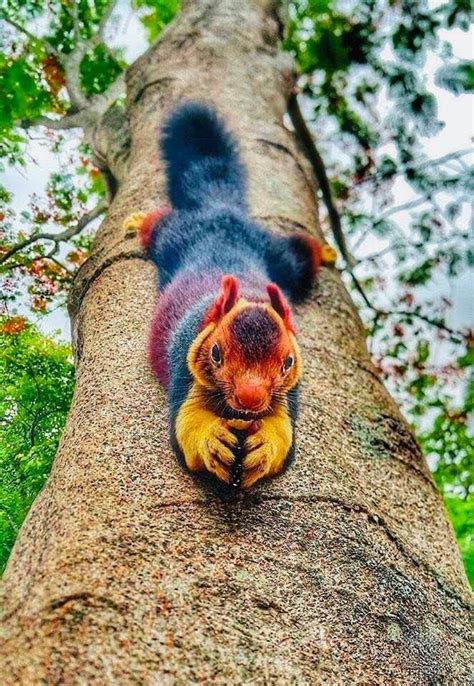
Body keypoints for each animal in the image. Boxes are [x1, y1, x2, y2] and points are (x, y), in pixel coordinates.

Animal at [125, 102, 326, 490]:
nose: (250, 398)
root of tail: (222, 213)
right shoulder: (184, 365)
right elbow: (186, 423)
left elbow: (284, 432)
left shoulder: (291, 392)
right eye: (216, 353)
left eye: (287, 362)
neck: (250, 297)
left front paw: (264, 446)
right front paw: (211, 441)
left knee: (299, 253)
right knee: (161, 224)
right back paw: (141, 220)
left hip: (279, 256)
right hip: (177, 236)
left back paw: (325, 252)